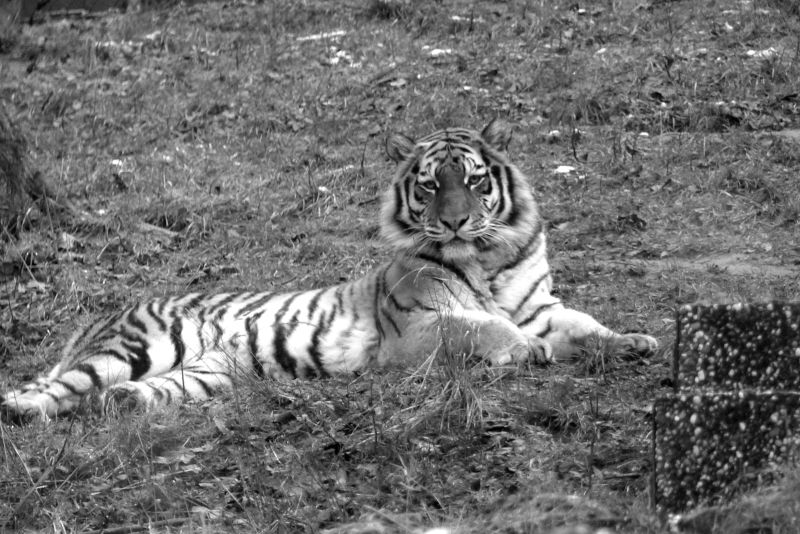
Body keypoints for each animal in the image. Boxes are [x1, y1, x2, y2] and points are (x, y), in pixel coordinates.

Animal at [0, 120, 656, 422]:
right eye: (429, 186)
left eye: (473, 181)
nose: (455, 223)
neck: (486, 258)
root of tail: (99, 318)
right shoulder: (416, 329)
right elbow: (478, 325)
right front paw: (521, 349)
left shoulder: (542, 307)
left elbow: (587, 324)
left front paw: (636, 341)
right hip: (131, 349)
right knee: (47, 388)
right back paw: (21, 410)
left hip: (203, 376)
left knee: (117, 395)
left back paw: (121, 404)